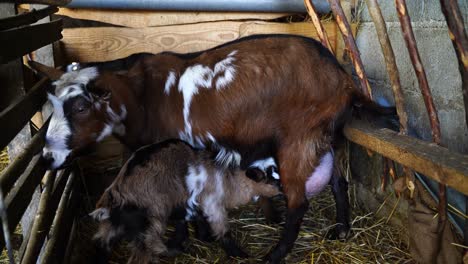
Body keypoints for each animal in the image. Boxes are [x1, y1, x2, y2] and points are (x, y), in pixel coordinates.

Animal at [91, 138, 280, 262]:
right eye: (269, 177)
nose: (282, 189)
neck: (226, 176)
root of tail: (116, 198)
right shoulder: (212, 203)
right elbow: (222, 229)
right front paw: (239, 254)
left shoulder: (189, 200)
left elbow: (192, 219)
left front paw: (203, 237)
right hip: (153, 216)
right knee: (148, 248)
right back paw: (173, 251)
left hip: (110, 225)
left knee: (100, 242)